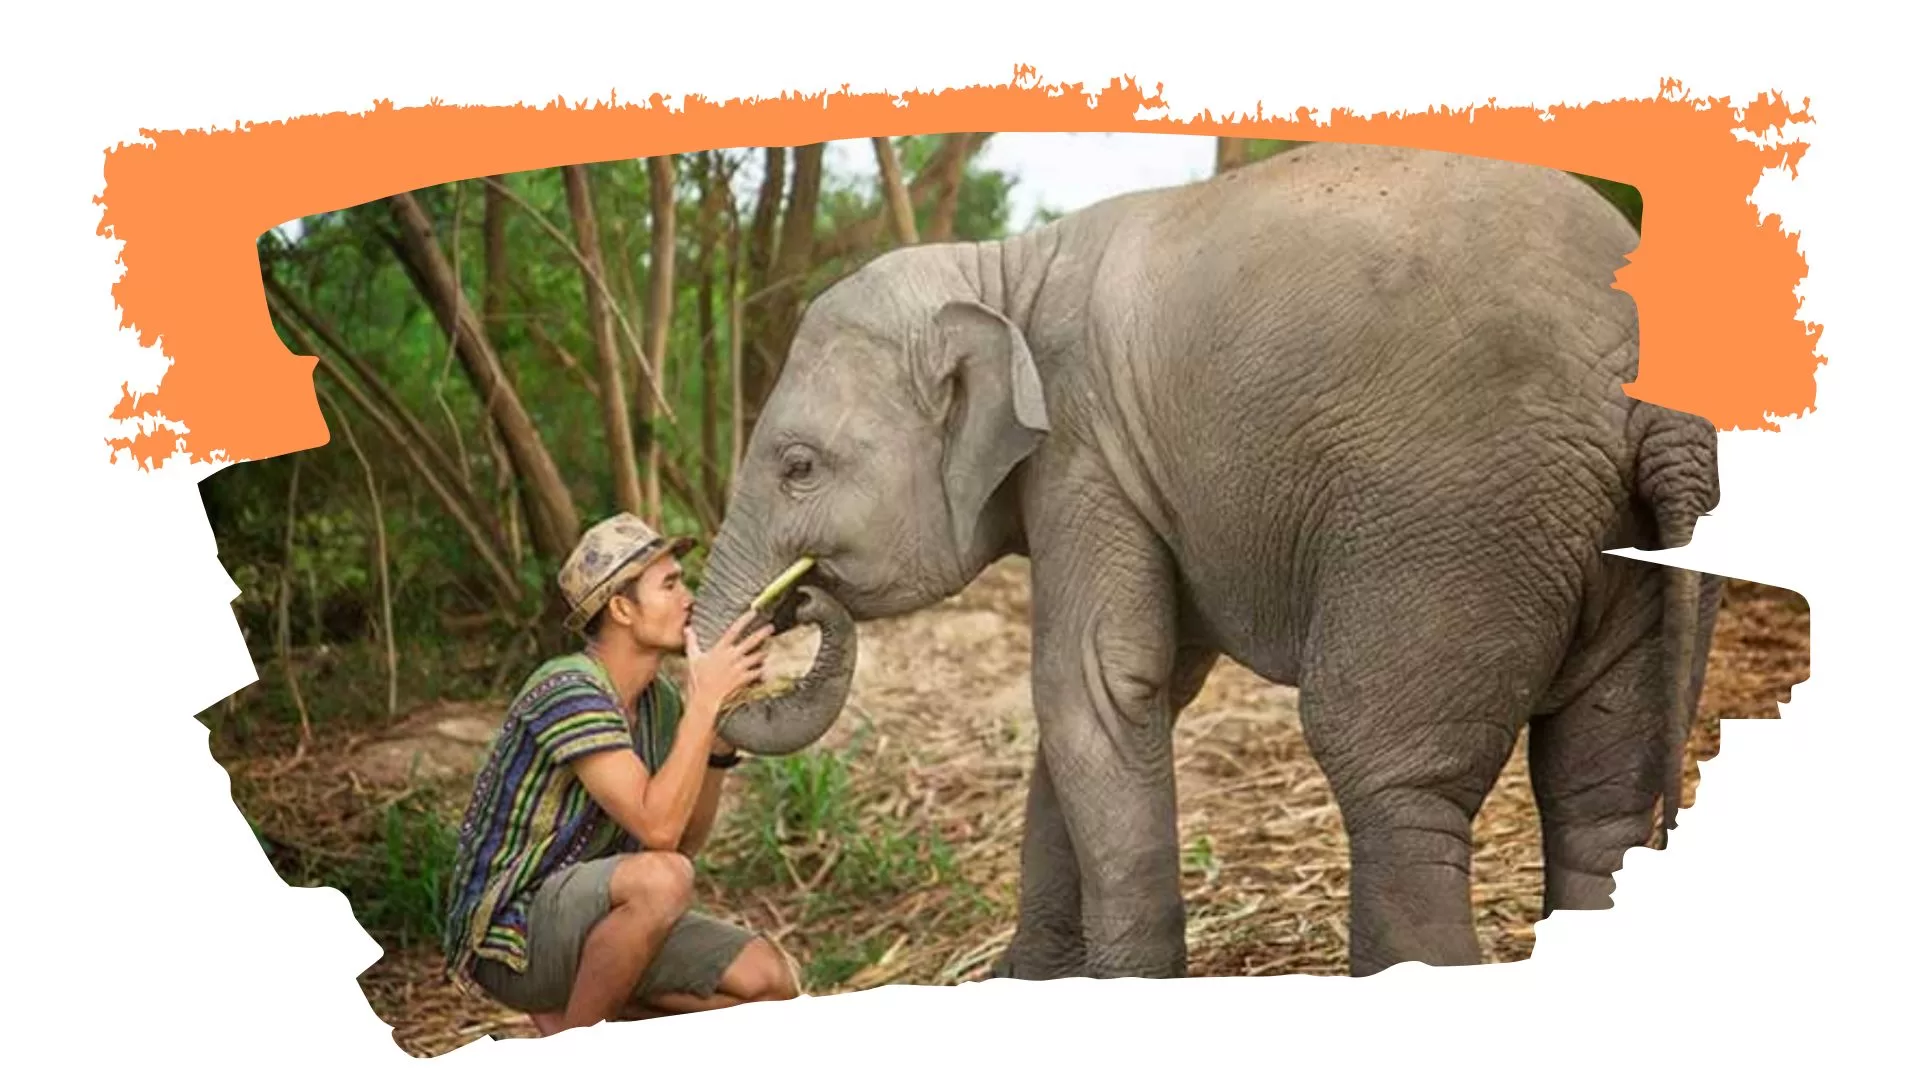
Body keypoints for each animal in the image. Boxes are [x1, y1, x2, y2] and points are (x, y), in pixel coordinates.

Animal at [694, 139, 1723, 981]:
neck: (1005, 269)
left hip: (1456, 517)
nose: (798, 600)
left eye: (796, 466)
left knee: (1391, 777)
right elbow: (1104, 704)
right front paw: (1028, 985)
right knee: (1600, 800)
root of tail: (1650, 396)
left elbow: (1094, 686)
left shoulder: (1085, 454)